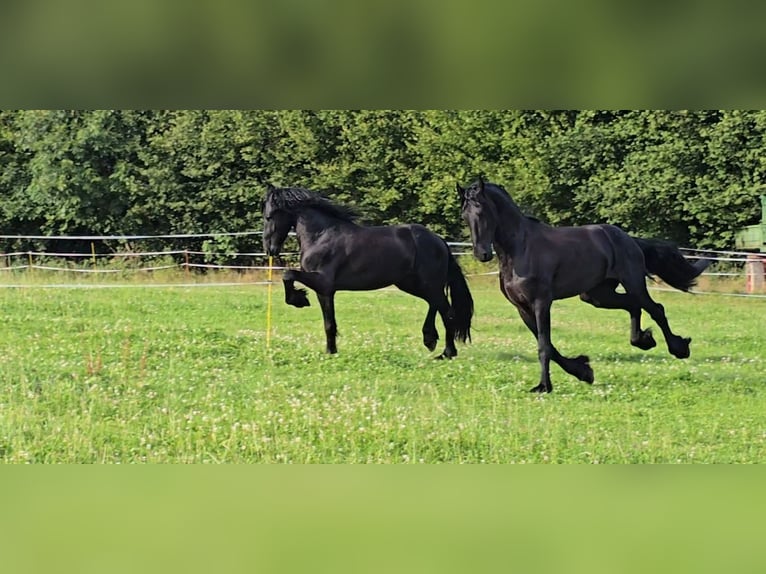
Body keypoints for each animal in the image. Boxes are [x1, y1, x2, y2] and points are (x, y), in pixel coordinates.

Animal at [262, 184, 474, 358]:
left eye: (269, 216)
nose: (269, 249)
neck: (321, 236)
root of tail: (440, 241)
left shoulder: (322, 282)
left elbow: (288, 274)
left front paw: (299, 300)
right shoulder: (325, 291)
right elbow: (329, 323)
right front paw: (331, 351)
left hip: (428, 284)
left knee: (447, 311)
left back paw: (445, 351)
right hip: (412, 284)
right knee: (435, 305)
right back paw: (432, 341)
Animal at [458, 177, 710, 393]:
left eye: (482, 209)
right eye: (465, 215)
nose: (482, 254)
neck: (520, 249)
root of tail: (628, 238)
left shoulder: (541, 303)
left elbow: (544, 346)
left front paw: (544, 386)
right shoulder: (522, 307)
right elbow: (548, 345)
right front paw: (583, 371)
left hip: (632, 283)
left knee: (655, 309)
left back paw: (679, 348)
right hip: (597, 295)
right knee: (633, 306)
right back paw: (643, 340)